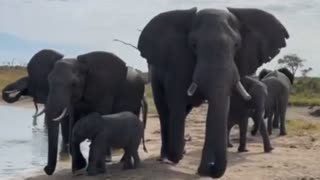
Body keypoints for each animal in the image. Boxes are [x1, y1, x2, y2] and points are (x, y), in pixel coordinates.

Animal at [137, 7, 288, 178]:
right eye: (193, 45)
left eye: (237, 45)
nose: (210, 167)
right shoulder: (177, 64)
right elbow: (177, 104)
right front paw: (179, 156)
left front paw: (203, 170)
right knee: (165, 111)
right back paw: (166, 157)